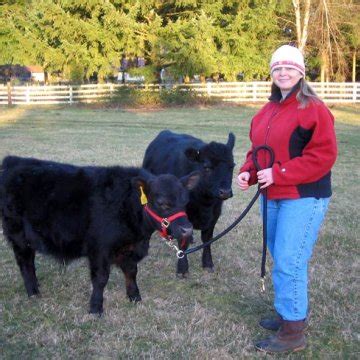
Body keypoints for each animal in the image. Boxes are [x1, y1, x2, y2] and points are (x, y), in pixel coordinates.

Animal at [0, 156, 200, 314]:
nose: (187, 230)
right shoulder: (99, 250)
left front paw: (134, 297)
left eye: (185, 201)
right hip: (18, 236)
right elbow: (101, 279)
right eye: (162, 203)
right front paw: (96, 308)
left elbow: (131, 272)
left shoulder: (130, 248)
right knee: (25, 263)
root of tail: (14, 161)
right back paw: (33, 292)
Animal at [143, 131, 236, 278]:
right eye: (207, 167)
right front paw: (182, 268)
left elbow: (207, 239)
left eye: (232, 166)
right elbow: (183, 242)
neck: (204, 203)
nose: (225, 192)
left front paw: (208, 263)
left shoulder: (214, 214)